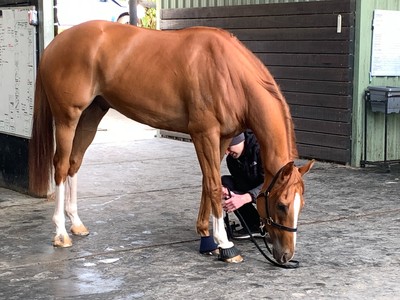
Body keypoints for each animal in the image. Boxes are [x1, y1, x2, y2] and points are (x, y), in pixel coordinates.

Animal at [29, 21, 314, 264]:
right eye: (282, 205)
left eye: (301, 204)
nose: (286, 256)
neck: (227, 73)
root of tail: (56, 43)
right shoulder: (204, 134)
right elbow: (213, 186)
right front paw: (224, 245)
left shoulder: (221, 138)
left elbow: (206, 182)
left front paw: (206, 237)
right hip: (67, 117)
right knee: (61, 166)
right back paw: (61, 234)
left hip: (91, 114)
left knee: (74, 163)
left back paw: (76, 224)